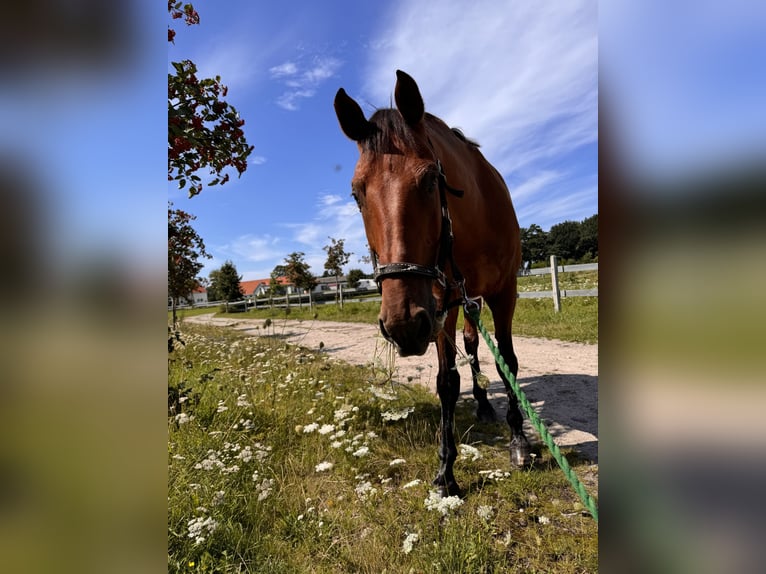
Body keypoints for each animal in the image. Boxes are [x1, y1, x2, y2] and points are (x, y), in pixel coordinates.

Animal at [336, 70, 536, 498]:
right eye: (357, 193)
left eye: (430, 179)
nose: (402, 326)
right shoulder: (441, 303)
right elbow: (447, 381)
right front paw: (446, 470)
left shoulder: (504, 294)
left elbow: (508, 361)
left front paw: (519, 441)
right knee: (471, 346)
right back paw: (482, 404)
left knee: (480, 347)